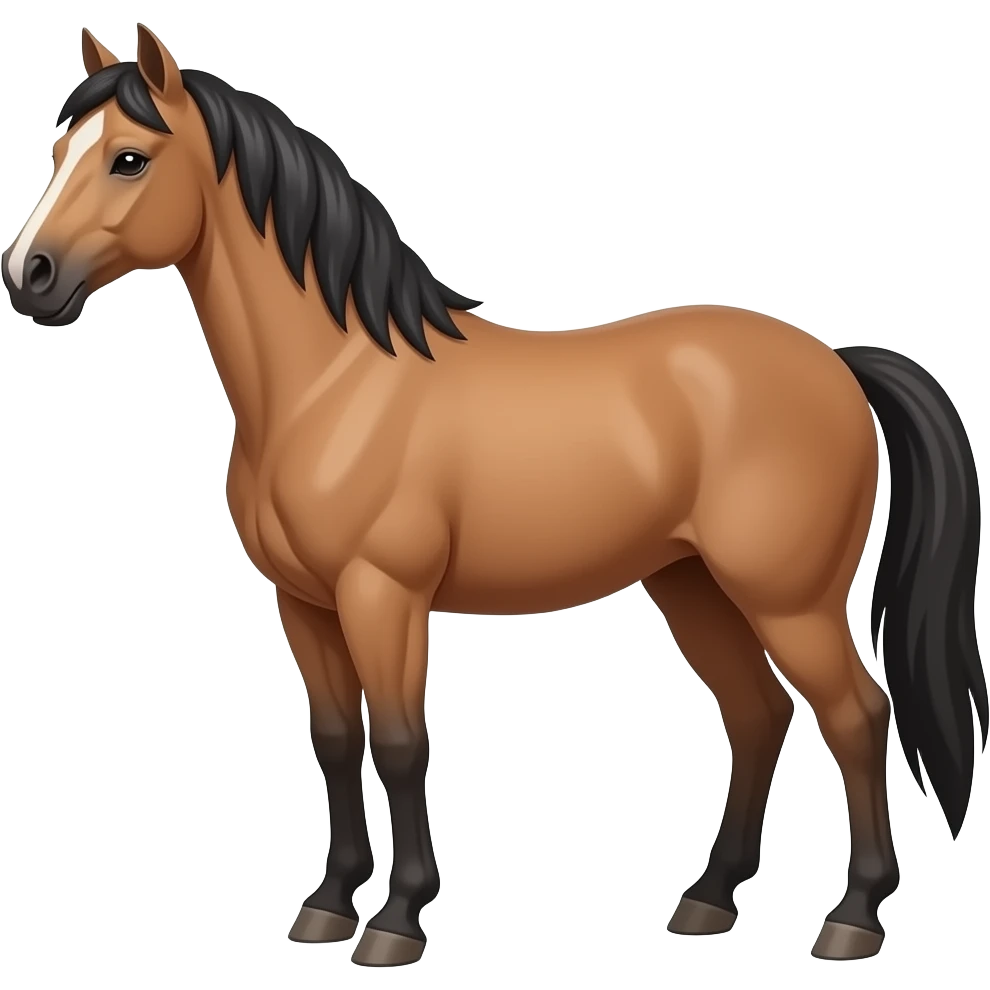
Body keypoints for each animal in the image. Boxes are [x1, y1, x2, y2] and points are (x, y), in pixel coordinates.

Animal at [2, 25, 985, 968]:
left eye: (130, 158)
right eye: (58, 149)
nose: (29, 275)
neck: (335, 381)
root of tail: (836, 364)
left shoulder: (383, 595)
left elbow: (402, 745)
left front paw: (396, 920)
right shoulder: (303, 603)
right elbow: (336, 741)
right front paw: (327, 906)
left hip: (789, 599)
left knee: (856, 717)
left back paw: (852, 919)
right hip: (692, 585)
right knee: (757, 716)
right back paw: (708, 901)